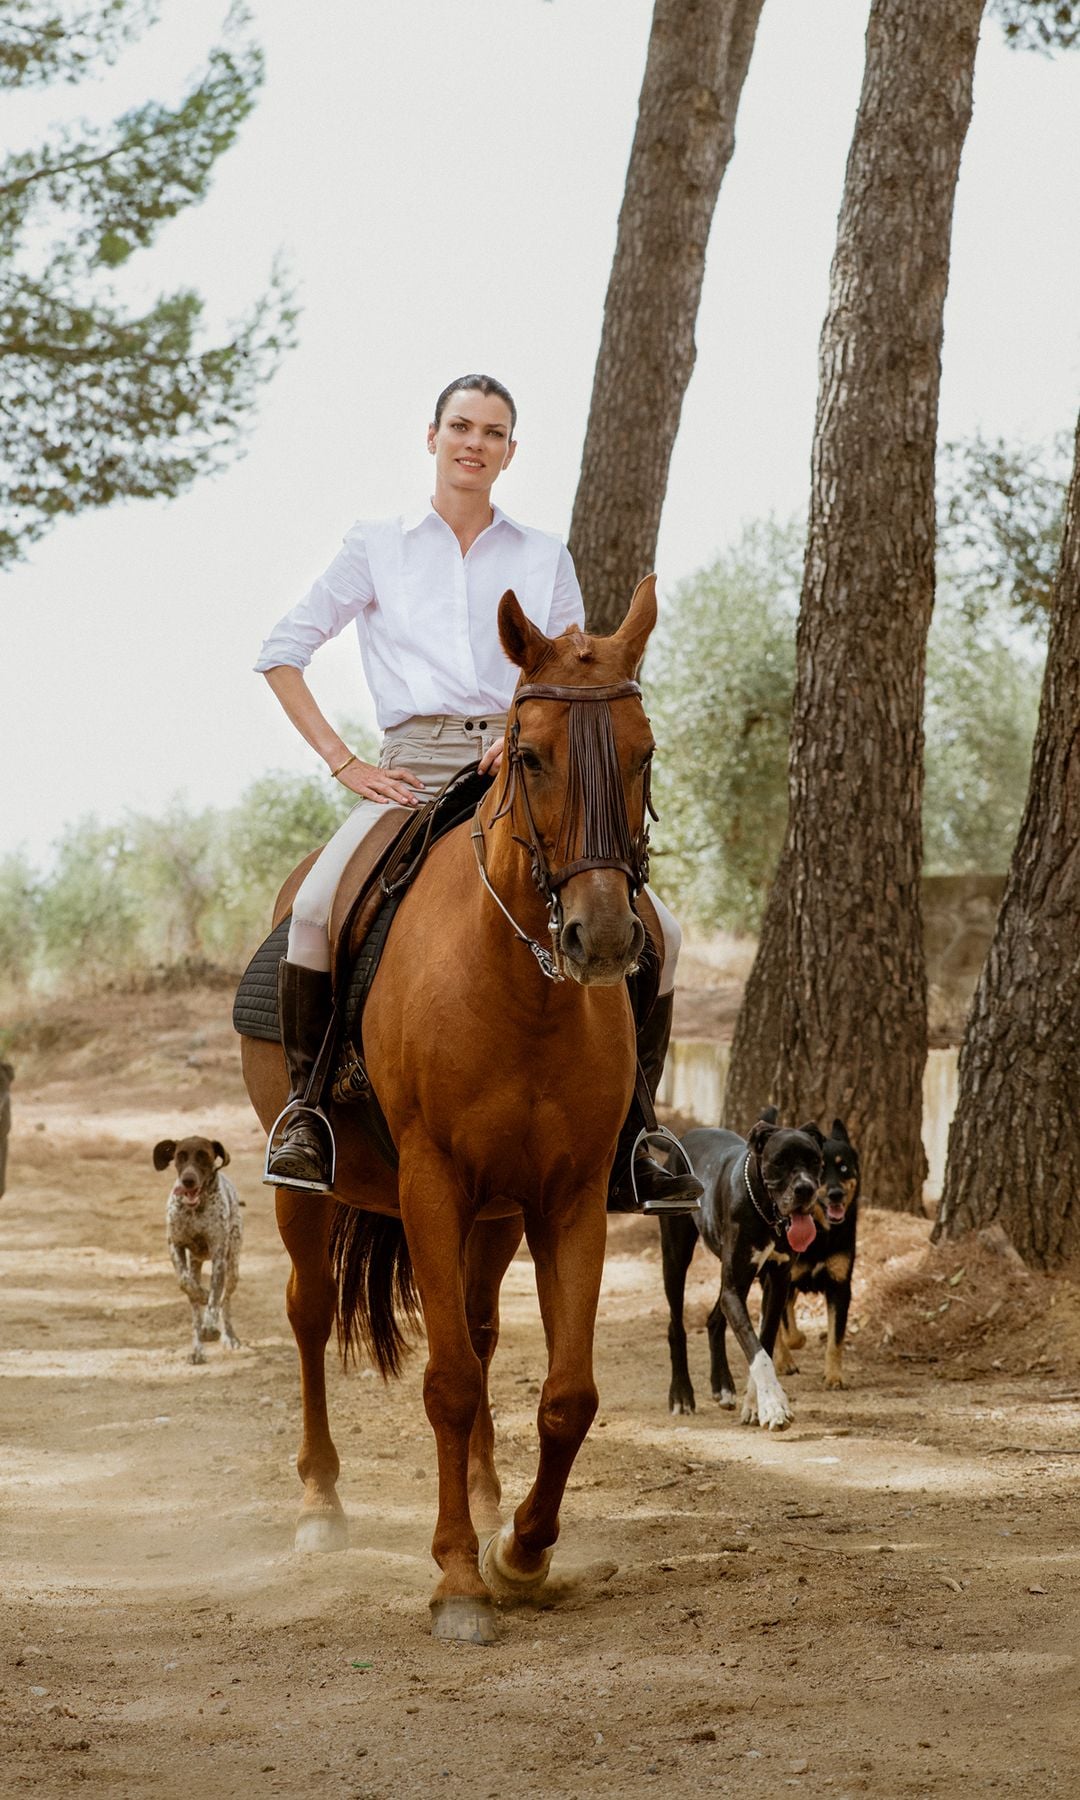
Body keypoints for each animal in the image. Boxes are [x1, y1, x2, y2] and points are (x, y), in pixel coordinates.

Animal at [153, 1130, 243, 1368]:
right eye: (180, 1156)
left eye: (204, 1156)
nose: (188, 1180)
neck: (196, 1209)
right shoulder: (175, 1246)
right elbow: (185, 1283)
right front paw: (201, 1294)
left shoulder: (219, 1255)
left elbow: (215, 1300)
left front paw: (211, 1324)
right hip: (195, 1262)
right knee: (195, 1311)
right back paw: (197, 1349)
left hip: (233, 1266)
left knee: (225, 1302)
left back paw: (229, 1336)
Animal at [243, 579, 658, 1648]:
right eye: (531, 753)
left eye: (643, 750)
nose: (601, 938)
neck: (522, 990)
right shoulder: (432, 1183)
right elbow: (449, 1382)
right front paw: (459, 1582)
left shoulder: (568, 1199)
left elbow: (565, 1393)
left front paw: (520, 1550)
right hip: (308, 1195)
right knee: (311, 1315)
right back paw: (321, 1506)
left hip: (496, 1218)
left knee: (474, 1326)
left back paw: (482, 1497)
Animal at [658, 1116, 828, 1425]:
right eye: (779, 1161)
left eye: (815, 1160)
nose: (805, 1189)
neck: (766, 1212)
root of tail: (683, 1139)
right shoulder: (735, 1287)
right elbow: (757, 1352)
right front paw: (774, 1405)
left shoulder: (775, 1284)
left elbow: (764, 1343)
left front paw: (755, 1403)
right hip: (676, 1258)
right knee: (676, 1327)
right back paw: (681, 1395)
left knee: (715, 1320)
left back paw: (723, 1387)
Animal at [770, 1108, 864, 1389]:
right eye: (819, 1169)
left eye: (843, 1167)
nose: (835, 1194)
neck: (820, 1235)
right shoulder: (781, 1277)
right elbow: (788, 1330)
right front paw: (789, 1352)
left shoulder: (840, 1287)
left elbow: (836, 1340)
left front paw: (834, 1376)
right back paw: (784, 1360)